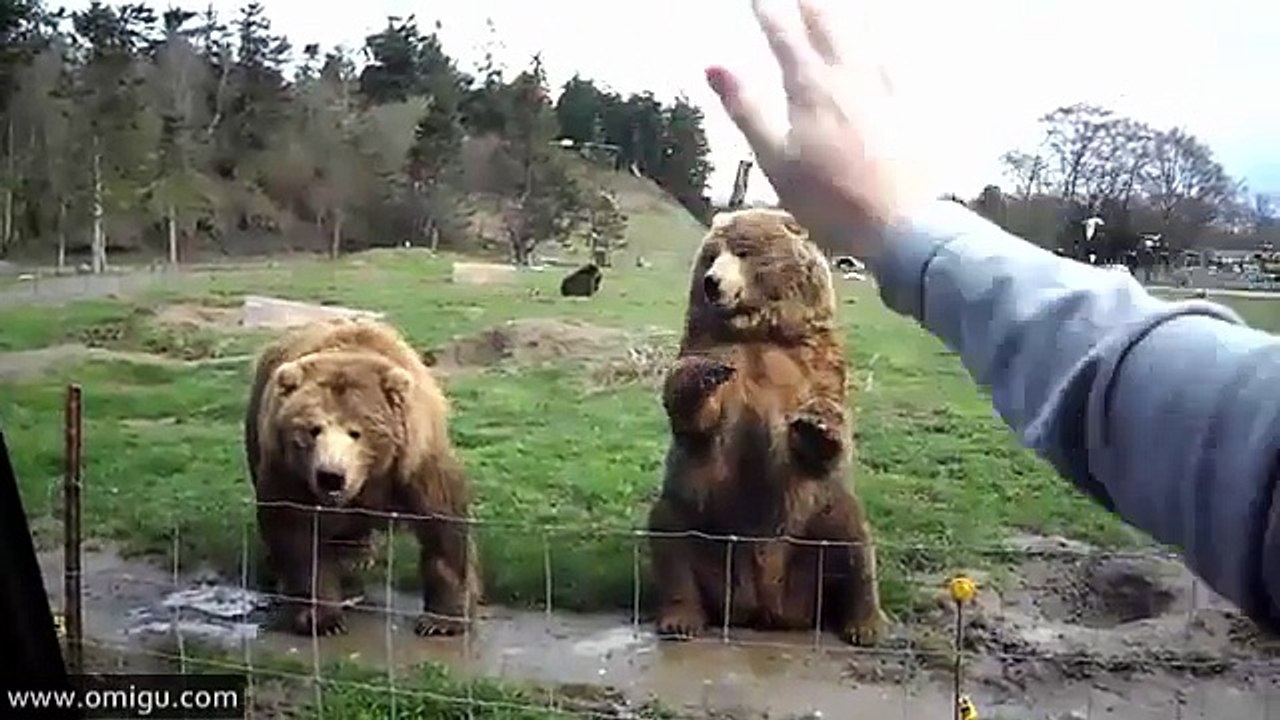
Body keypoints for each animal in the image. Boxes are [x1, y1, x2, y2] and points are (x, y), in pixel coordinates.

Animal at [244, 317, 481, 638]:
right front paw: (320, 618)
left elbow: (443, 525)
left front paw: (441, 621)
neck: (368, 479)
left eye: (355, 432)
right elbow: (298, 536)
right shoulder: (292, 473)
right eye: (312, 429)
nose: (331, 476)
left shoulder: (415, 461)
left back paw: (357, 558)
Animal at [646, 207, 888, 646]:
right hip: (701, 515)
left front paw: (815, 426)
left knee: (854, 543)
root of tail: (765, 606)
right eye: (711, 256)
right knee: (671, 538)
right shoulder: (717, 350)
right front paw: (704, 374)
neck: (759, 331)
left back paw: (864, 624)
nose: (712, 283)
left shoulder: (811, 362)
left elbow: (827, 418)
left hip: (816, 521)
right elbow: (695, 413)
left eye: (743, 251)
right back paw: (681, 618)